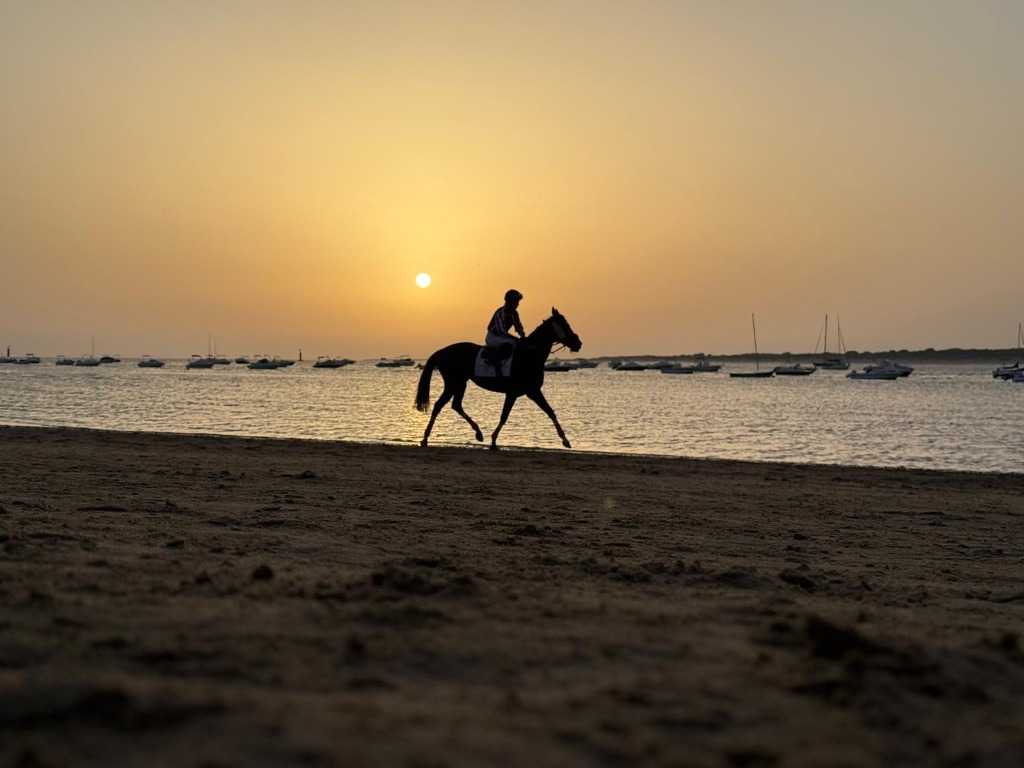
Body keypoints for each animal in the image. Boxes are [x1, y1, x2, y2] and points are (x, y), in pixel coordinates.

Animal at [415, 308, 583, 450]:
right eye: (565, 325)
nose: (578, 343)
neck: (529, 355)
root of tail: (442, 351)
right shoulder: (516, 392)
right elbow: (504, 416)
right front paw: (494, 441)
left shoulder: (532, 391)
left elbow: (550, 411)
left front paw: (565, 440)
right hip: (453, 383)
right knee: (439, 405)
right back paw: (425, 438)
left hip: (461, 383)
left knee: (456, 405)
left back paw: (478, 433)